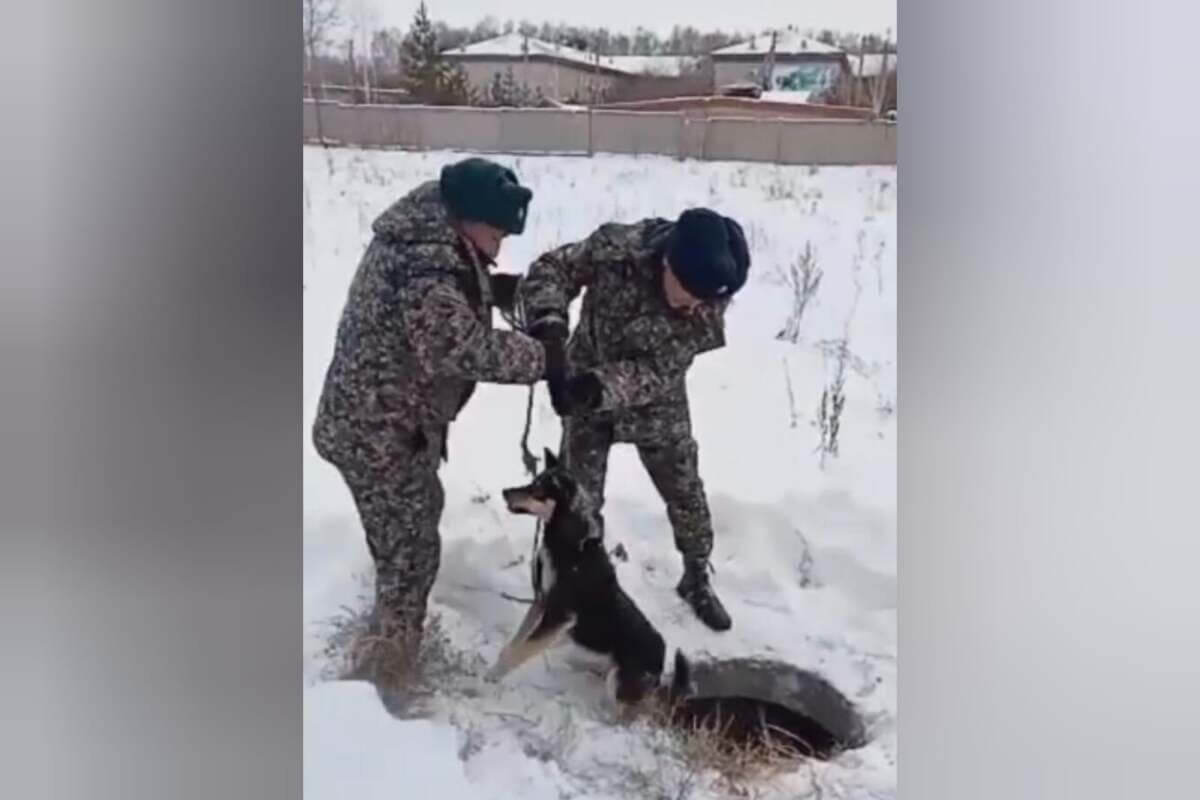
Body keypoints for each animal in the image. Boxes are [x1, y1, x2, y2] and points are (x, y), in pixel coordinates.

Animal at [484, 448, 696, 710]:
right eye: (532, 483)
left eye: (537, 490)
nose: (505, 492)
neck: (567, 543)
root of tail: (660, 665)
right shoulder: (541, 601)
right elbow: (515, 643)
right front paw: (496, 666)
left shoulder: (558, 614)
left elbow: (520, 651)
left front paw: (491, 677)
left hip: (617, 683)